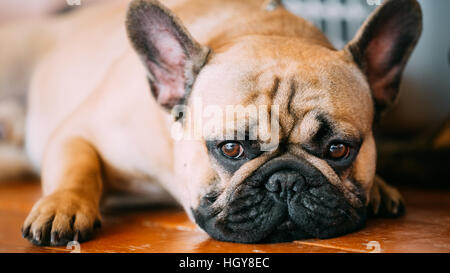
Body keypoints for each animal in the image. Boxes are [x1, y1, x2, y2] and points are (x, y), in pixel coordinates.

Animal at [15, 0, 424, 244]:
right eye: (231, 148)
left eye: (339, 150)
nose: (286, 181)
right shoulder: (77, 130)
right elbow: (78, 167)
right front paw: (63, 206)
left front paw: (379, 187)